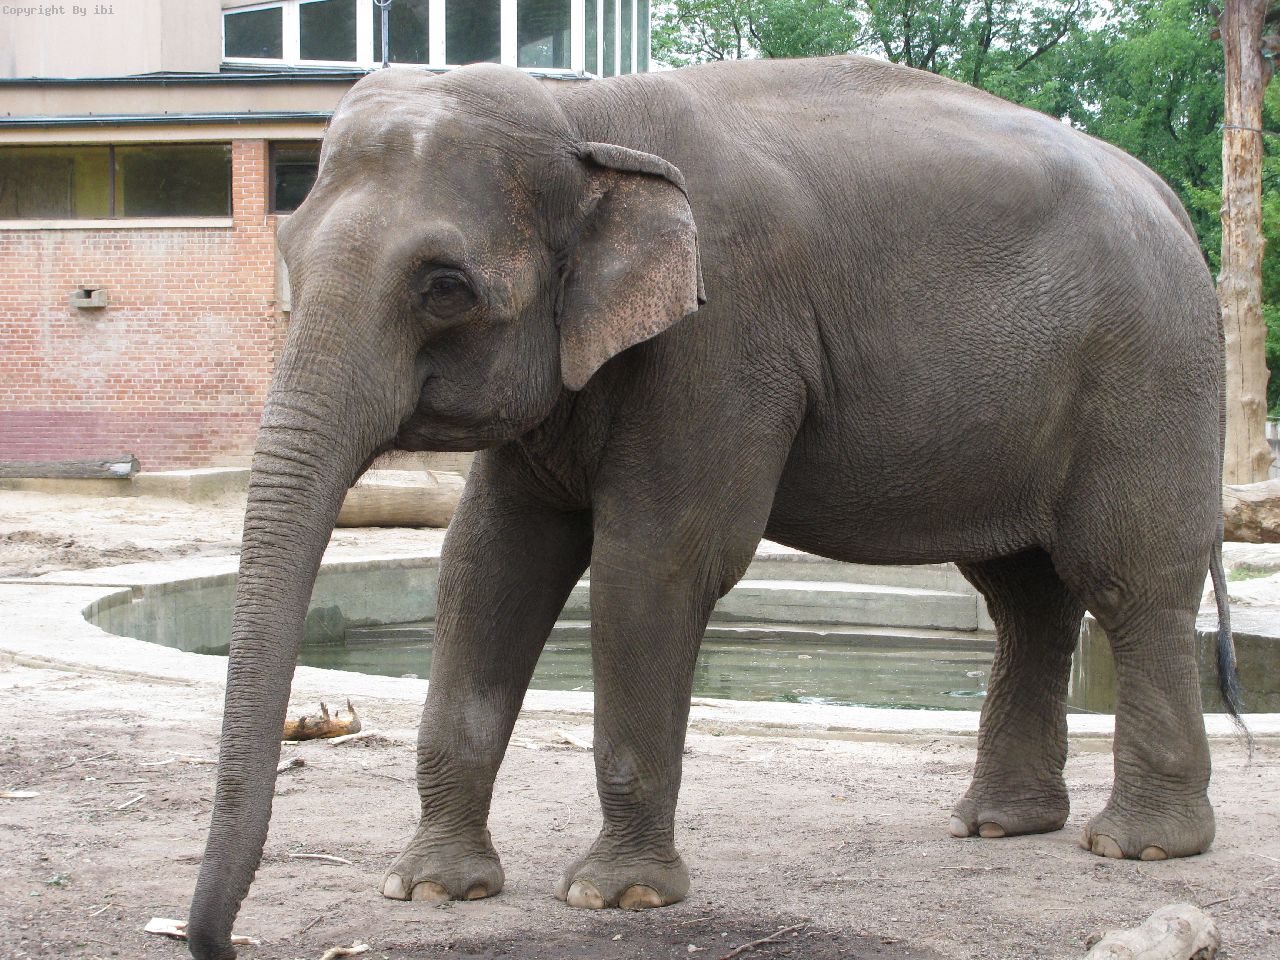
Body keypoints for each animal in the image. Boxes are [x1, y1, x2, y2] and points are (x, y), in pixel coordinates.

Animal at [185, 55, 1244, 959]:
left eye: (446, 286)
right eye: (287, 248)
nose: (219, 941)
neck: (586, 117)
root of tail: (1167, 198)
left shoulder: (723, 337)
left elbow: (654, 561)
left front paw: (615, 897)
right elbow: (488, 562)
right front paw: (435, 888)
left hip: (1151, 371)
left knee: (1129, 581)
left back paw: (1140, 846)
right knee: (1025, 594)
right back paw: (998, 826)